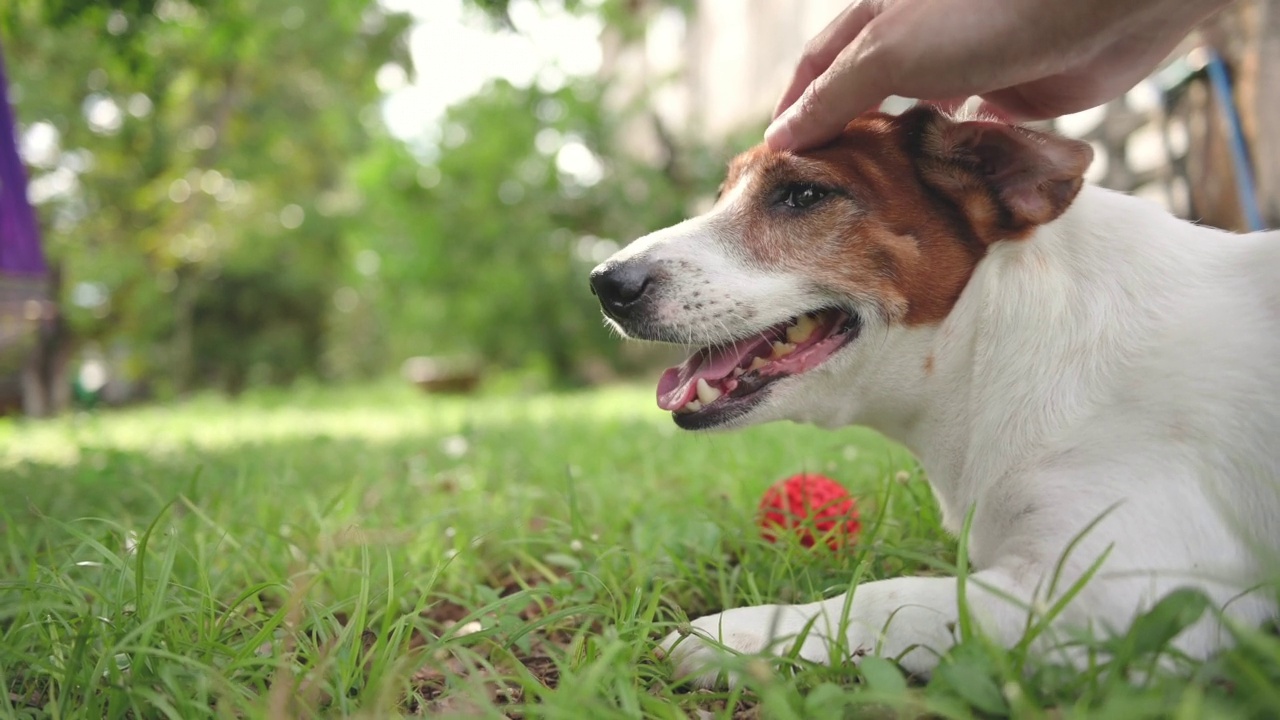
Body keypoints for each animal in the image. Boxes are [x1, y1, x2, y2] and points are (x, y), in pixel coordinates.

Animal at [586, 106, 1280, 681]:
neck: (995, 340)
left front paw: (742, 633)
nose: (604, 282)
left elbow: (894, 595)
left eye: (803, 194)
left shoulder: (1128, 591)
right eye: (721, 196)